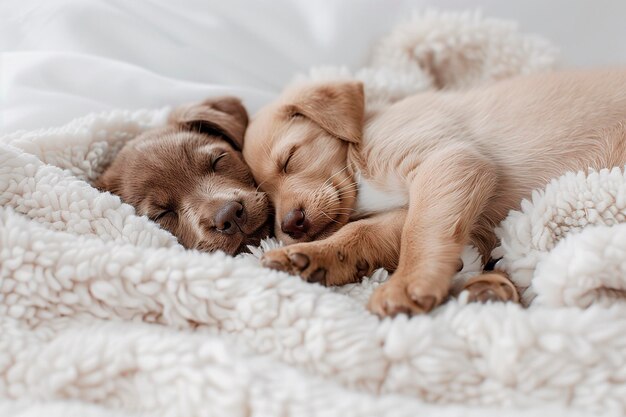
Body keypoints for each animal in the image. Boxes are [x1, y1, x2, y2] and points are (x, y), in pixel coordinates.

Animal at [241, 69, 624, 316]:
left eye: (289, 159)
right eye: (268, 199)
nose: (290, 225)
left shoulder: (447, 162)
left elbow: (419, 232)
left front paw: (406, 285)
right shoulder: (420, 200)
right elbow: (362, 232)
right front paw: (310, 258)